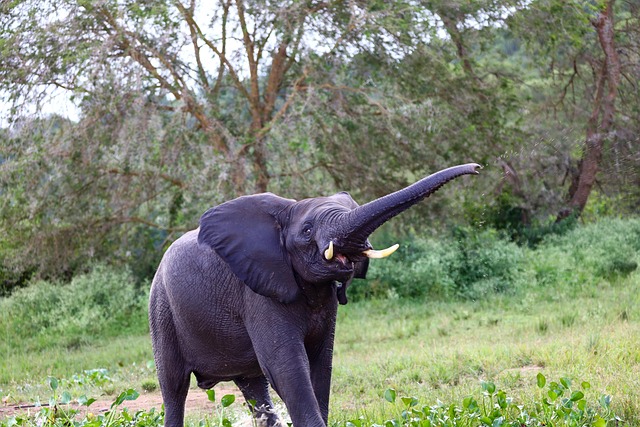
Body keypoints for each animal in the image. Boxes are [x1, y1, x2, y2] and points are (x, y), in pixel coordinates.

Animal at [149, 163, 480, 427]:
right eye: (307, 230)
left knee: (254, 387)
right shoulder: (259, 293)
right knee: (174, 388)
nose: (477, 168)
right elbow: (287, 368)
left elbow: (321, 363)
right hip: (161, 312)